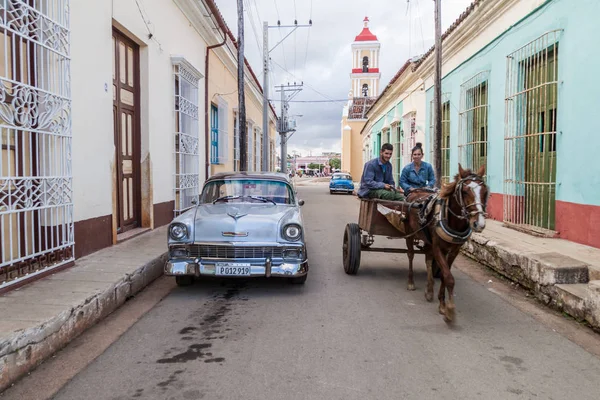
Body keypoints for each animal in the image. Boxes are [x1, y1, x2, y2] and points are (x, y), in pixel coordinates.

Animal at [404, 162, 488, 322]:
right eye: (465, 192)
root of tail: (414, 192)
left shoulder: (454, 250)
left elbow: (444, 274)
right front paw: (449, 309)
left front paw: (442, 303)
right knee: (410, 255)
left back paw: (429, 290)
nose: (478, 224)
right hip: (409, 234)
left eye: (485, 192)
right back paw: (410, 282)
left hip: (428, 240)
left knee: (428, 259)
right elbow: (449, 277)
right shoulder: (438, 247)